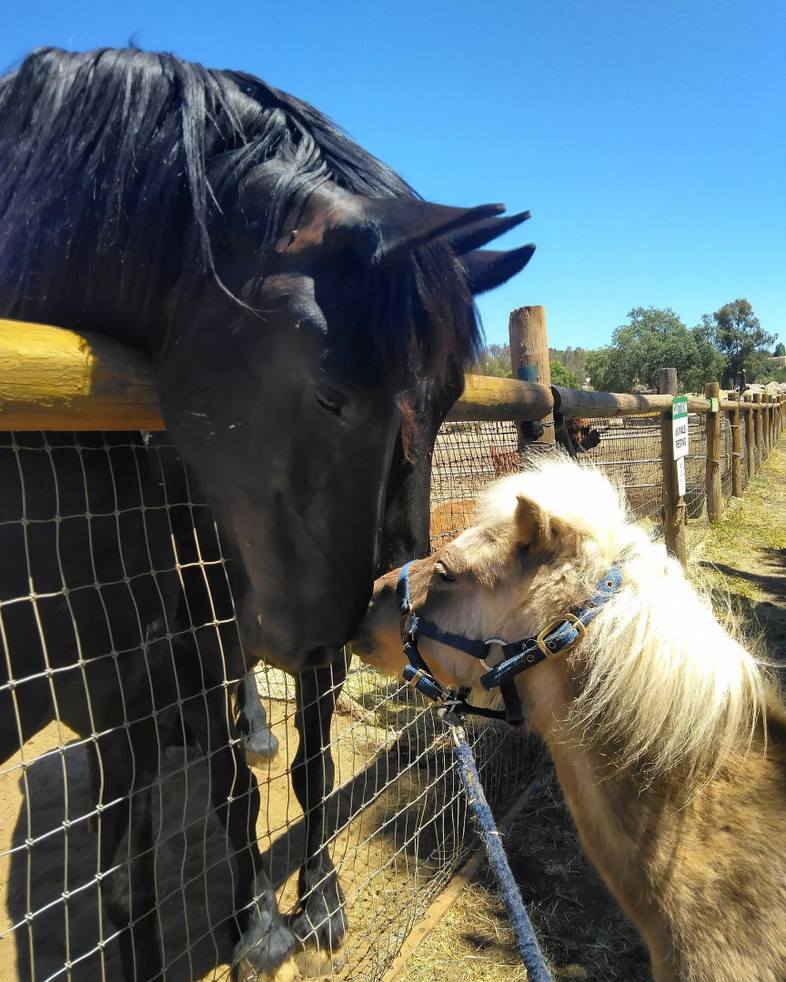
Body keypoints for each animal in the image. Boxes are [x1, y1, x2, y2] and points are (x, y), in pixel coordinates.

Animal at [0, 48, 532, 982]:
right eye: (330, 395)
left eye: (447, 402)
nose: (380, 616)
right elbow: (216, 798)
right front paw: (254, 925)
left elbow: (312, 767)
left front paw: (315, 898)